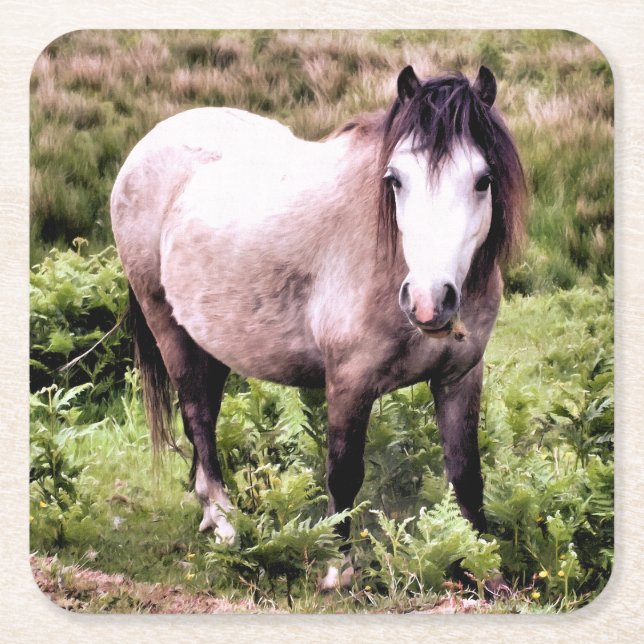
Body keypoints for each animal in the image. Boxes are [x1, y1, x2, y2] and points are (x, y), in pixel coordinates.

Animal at [111, 64, 525, 589]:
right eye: (396, 179)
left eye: (482, 179)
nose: (429, 302)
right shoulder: (349, 381)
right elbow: (343, 474)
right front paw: (337, 570)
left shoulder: (460, 377)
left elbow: (466, 474)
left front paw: (484, 571)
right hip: (168, 327)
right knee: (198, 418)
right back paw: (225, 522)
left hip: (212, 340)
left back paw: (209, 511)